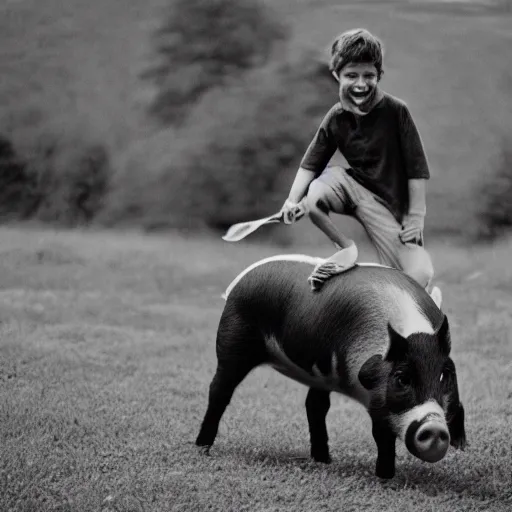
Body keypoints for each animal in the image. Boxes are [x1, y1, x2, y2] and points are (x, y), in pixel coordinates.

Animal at [197, 256, 468, 480]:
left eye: (443, 375)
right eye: (402, 379)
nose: (435, 427)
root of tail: (239, 281)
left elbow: (458, 406)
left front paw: (463, 446)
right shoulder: (377, 402)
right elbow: (382, 437)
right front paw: (385, 477)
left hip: (319, 377)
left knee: (315, 406)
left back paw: (324, 460)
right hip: (232, 342)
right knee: (219, 390)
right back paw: (202, 448)